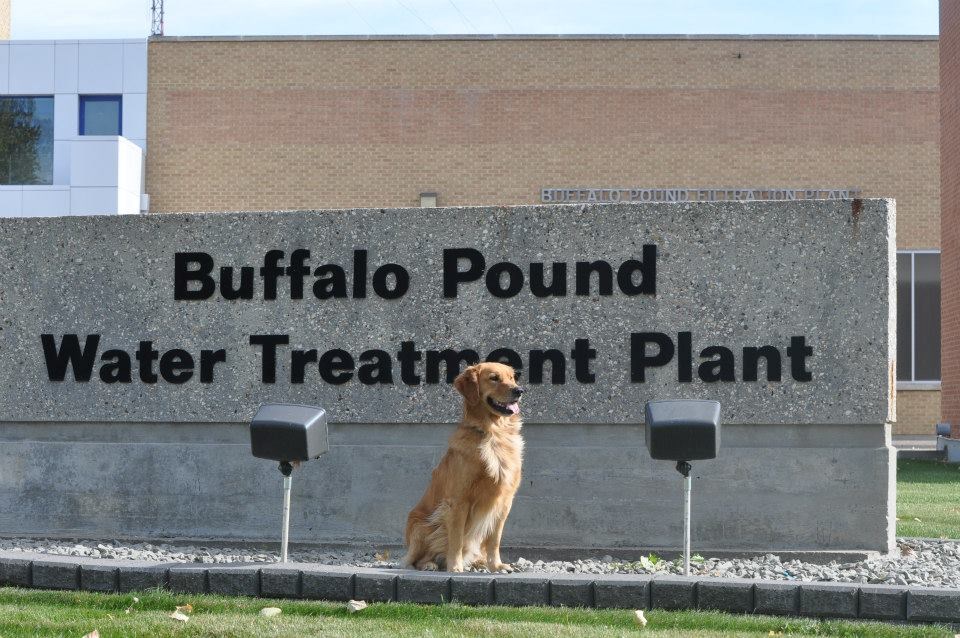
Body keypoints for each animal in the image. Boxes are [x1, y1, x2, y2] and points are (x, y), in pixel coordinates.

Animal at [404, 364, 528, 576]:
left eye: (512, 378)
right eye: (494, 378)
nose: (518, 391)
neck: (494, 434)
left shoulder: (504, 502)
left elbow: (494, 540)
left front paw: (496, 566)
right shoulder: (458, 502)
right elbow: (457, 539)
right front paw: (455, 566)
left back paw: (479, 562)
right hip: (421, 526)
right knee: (413, 560)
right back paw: (430, 564)